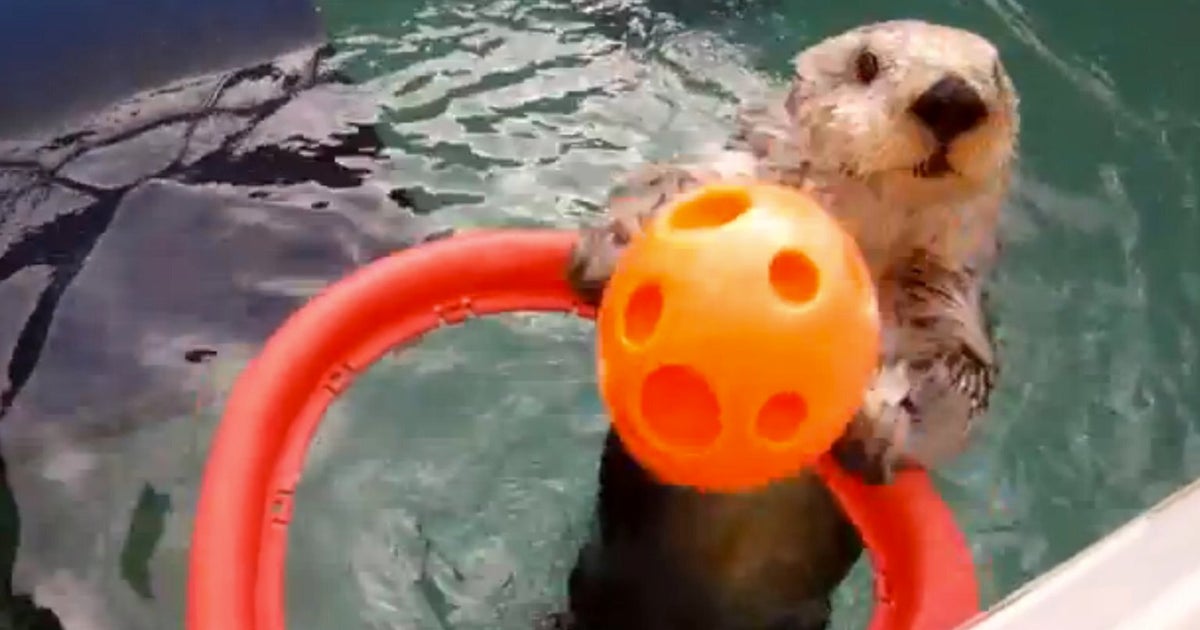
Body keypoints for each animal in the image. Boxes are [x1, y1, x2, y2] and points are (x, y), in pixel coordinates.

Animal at [549, 20, 1019, 630]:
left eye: (995, 77)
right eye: (867, 63)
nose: (953, 97)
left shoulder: (946, 300)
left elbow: (957, 383)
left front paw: (877, 419)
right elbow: (675, 186)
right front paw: (618, 243)